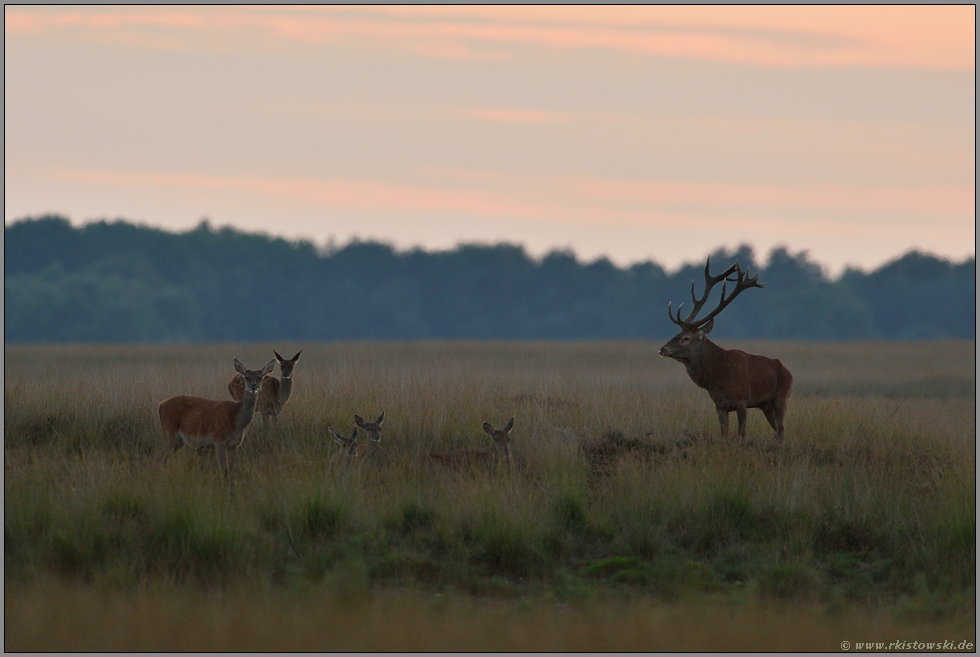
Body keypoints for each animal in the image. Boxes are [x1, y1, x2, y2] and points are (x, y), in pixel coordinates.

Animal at [160, 358, 276, 486]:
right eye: (246, 377)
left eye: (260, 377)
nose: (253, 386)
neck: (236, 421)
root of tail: (160, 405)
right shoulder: (218, 440)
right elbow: (223, 470)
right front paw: (224, 487)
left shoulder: (234, 445)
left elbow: (230, 469)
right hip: (169, 432)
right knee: (163, 459)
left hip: (179, 440)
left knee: (162, 457)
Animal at [656, 258, 792, 440]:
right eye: (676, 334)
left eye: (686, 338)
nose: (662, 349)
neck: (718, 377)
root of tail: (788, 372)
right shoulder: (719, 405)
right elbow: (724, 434)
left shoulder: (742, 399)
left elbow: (741, 434)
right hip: (766, 405)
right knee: (778, 431)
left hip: (781, 398)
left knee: (782, 430)